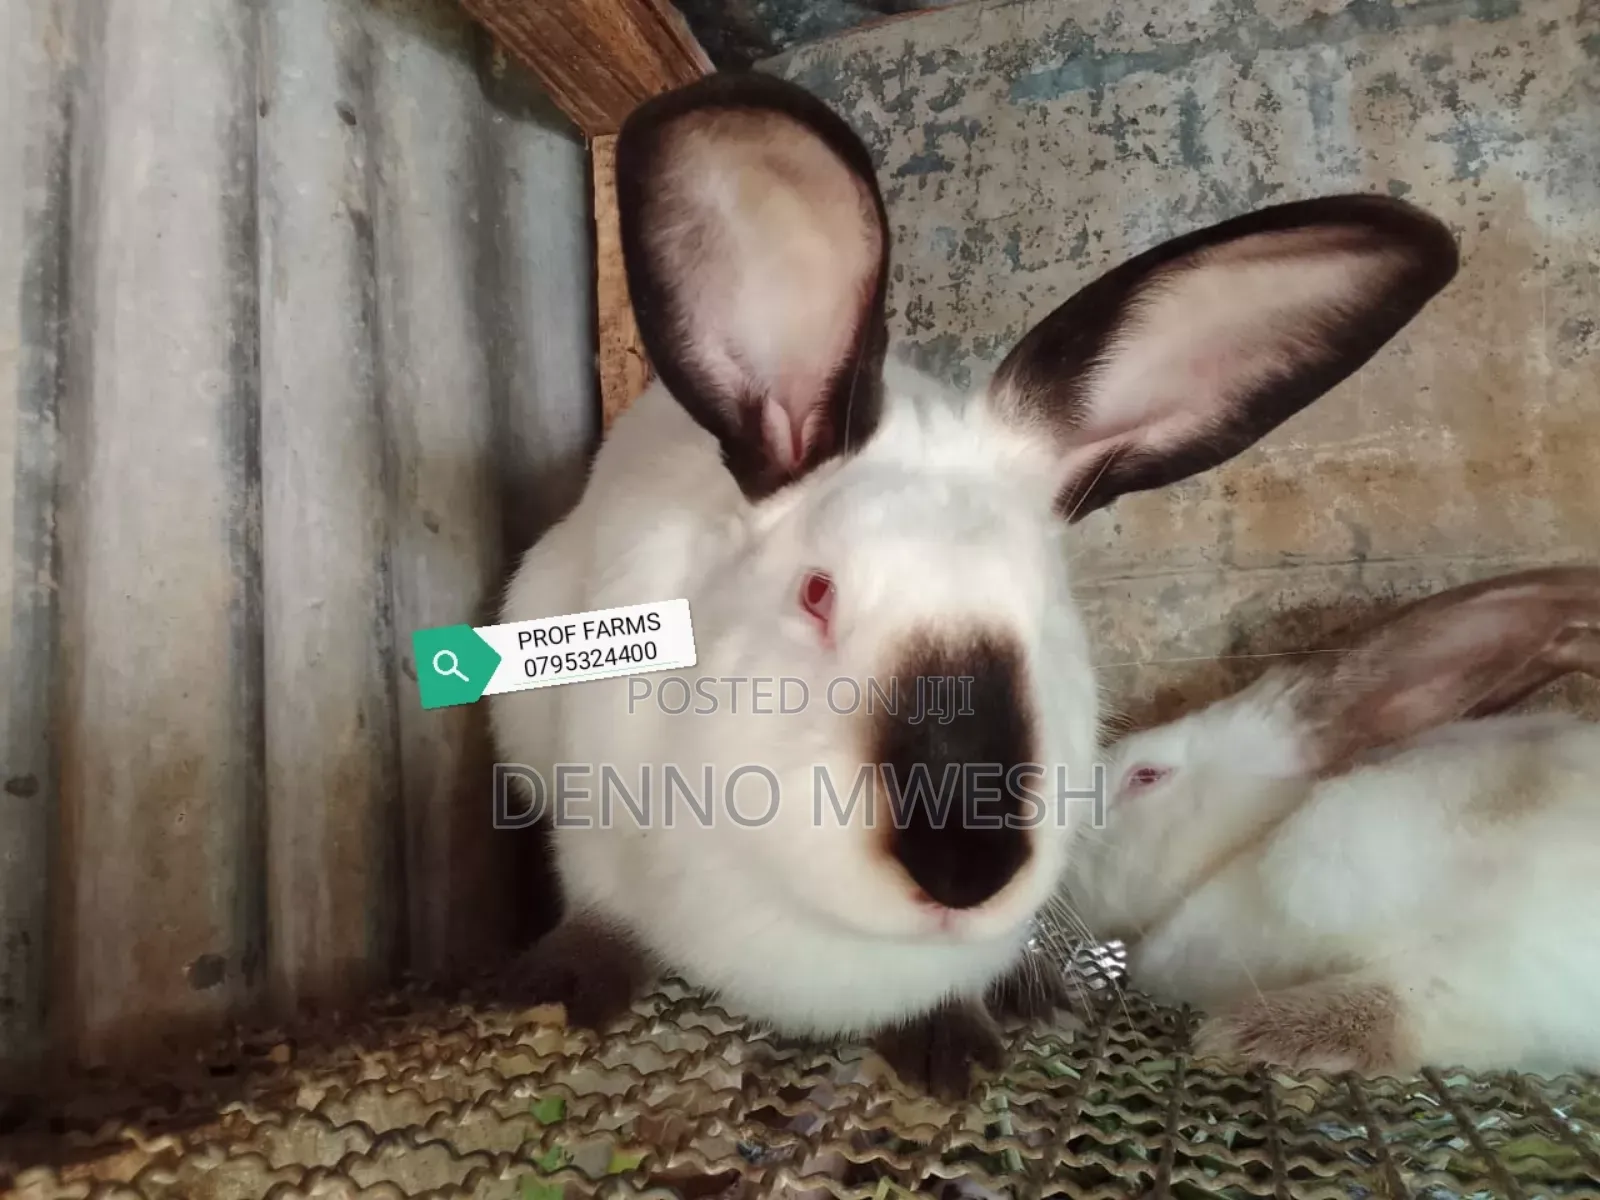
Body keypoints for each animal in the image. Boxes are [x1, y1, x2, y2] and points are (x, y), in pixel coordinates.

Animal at [484, 69, 1460, 1099]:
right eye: (817, 593)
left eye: (1054, 621)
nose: (966, 865)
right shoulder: (585, 821)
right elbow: (599, 912)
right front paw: (554, 995)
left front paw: (952, 1051)